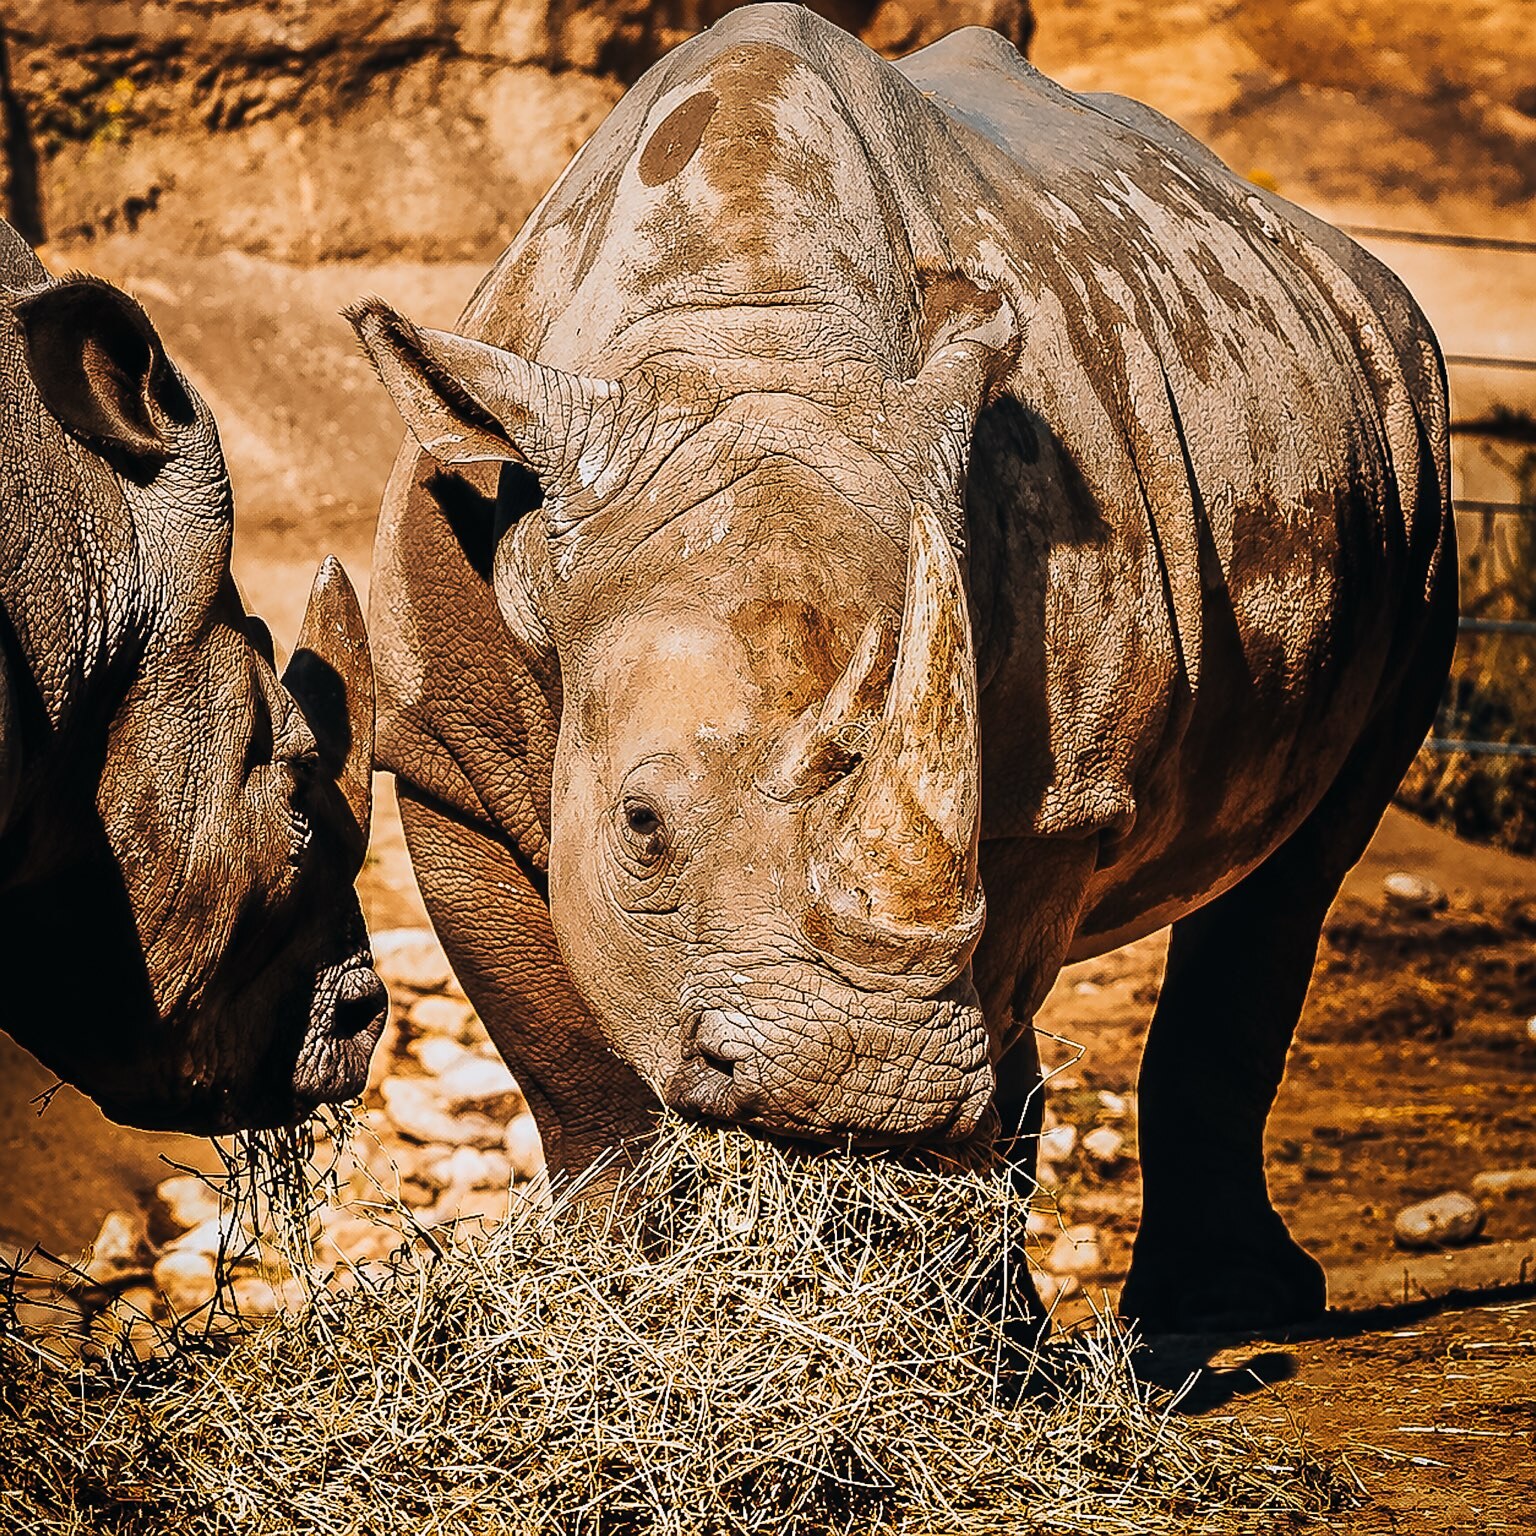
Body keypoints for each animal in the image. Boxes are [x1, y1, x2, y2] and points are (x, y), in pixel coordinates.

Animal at [351, 5, 1455, 1329]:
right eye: (641, 826)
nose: (857, 1084)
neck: (744, 338)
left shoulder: (1058, 801)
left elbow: (998, 988)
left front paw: (954, 1325)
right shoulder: (439, 750)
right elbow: (566, 1060)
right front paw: (611, 1289)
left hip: (1413, 419)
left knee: (1298, 870)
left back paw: (1211, 1311)